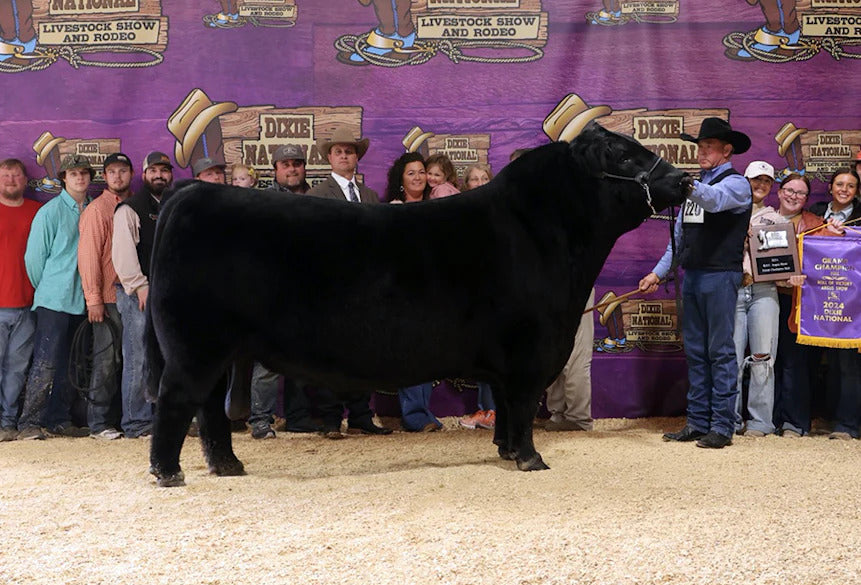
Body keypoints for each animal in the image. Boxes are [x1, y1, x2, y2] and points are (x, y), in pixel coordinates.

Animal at [146, 122, 692, 487]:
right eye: (623, 157)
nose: (685, 180)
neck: (547, 233)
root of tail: (190, 193)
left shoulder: (508, 360)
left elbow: (506, 410)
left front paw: (505, 450)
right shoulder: (530, 350)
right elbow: (521, 405)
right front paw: (531, 459)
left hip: (215, 350)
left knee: (209, 409)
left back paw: (227, 466)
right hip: (194, 345)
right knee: (178, 399)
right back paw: (168, 472)